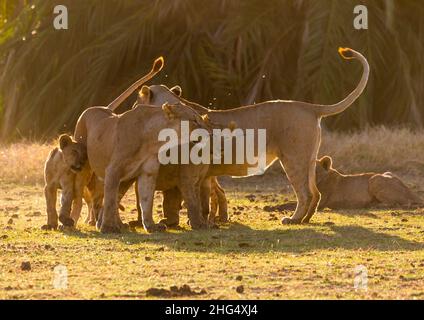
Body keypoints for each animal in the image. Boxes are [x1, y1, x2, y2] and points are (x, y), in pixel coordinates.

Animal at [137, 47, 370, 224]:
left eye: (137, 101)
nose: (131, 109)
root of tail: (310, 107)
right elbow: (211, 194)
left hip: (293, 158)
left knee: (304, 192)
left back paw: (293, 219)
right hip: (309, 158)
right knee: (315, 191)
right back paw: (305, 219)